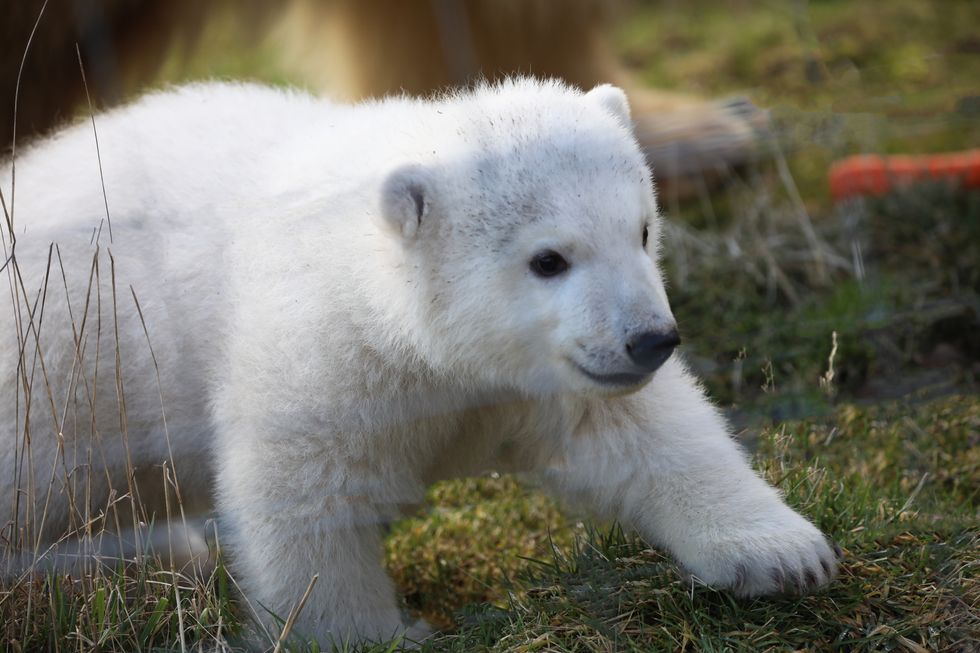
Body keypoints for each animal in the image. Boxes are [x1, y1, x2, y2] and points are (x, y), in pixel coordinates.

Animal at [0, 78, 837, 645]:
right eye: (549, 258)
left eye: (642, 228)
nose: (649, 338)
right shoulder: (324, 346)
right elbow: (304, 494)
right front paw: (372, 635)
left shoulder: (541, 377)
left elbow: (646, 430)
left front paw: (784, 552)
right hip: (56, 371)